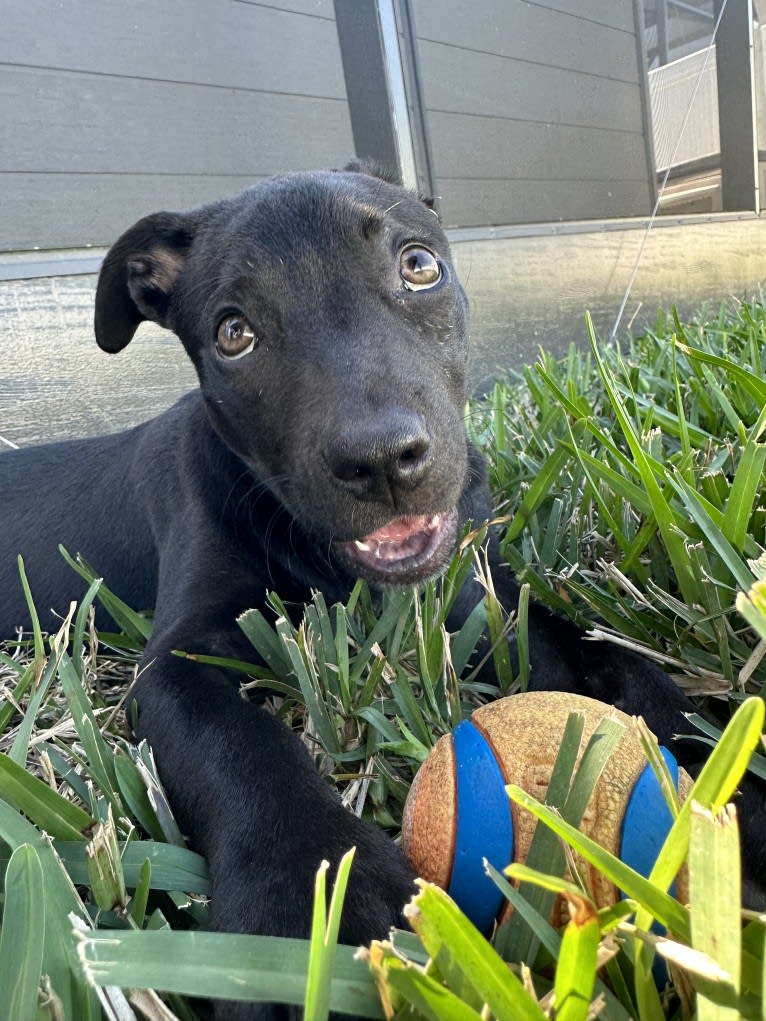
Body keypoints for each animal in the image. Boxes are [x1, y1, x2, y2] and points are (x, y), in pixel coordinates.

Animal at [0, 165, 763, 1012]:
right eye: (234, 333)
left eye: (418, 264)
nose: (382, 461)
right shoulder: (176, 661)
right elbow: (237, 744)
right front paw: (305, 907)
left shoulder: (479, 598)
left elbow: (607, 658)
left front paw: (722, 785)